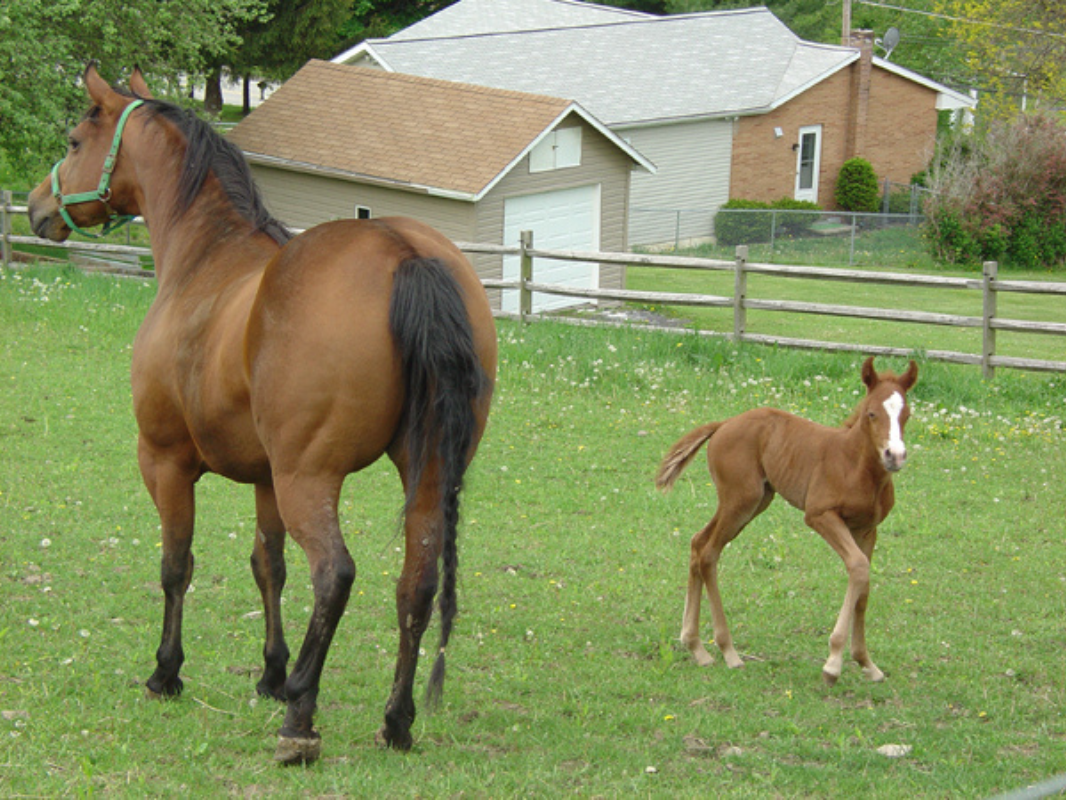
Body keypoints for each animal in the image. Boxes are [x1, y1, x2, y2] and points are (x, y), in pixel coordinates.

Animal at [27, 67, 494, 763]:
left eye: (75, 140)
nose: (36, 207)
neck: (207, 257)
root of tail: (403, 251)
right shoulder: (266, 478)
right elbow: (267, 566)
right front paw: (271, 673)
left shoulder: (165, 463)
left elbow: (176, 566)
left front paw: (167, 672)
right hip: (425, 473)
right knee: (416, 581)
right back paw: (395, 721)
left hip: (311, 479)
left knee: (334, 574)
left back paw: (301, 717)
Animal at [656, 360, 916, 686]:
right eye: (871, 413)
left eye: (907, 414)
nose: (895, 455)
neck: (856, 465)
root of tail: (724, 424)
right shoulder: (820, 515)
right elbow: (857, 567)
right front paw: (833, 664)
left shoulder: (867, 529)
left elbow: (864, 585)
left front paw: (866, 663)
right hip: (741, 500)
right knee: (708, 553)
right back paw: (729, 652)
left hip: (753, 502)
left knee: (697, 542)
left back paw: (696, 647)